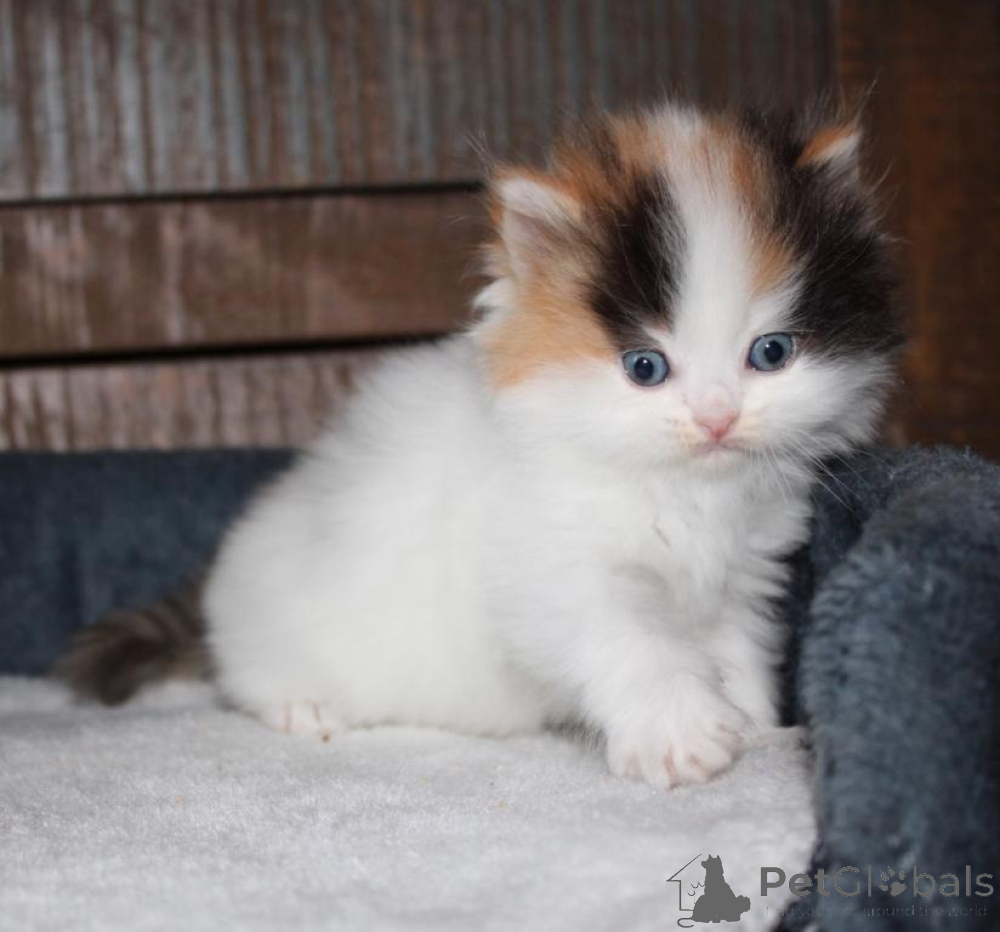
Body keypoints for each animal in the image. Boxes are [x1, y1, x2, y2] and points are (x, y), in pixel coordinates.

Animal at [57, 102, 901, 788]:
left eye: (771, 353)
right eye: (645, 368)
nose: (717, 418)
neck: (679, 487)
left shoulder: (739, 580)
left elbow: (736, 651)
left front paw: (758, 726)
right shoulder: (549, 570)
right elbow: (630, 640)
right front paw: (682, 736)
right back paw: (303, 707)